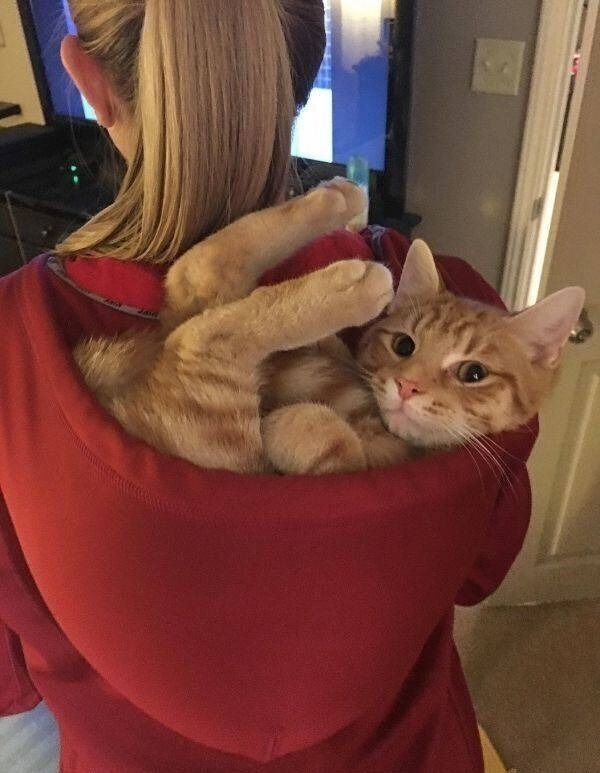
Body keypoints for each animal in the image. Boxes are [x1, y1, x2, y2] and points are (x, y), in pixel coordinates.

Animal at [73, 179, 584, 476]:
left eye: (472, 374)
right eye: (404, 345)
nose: (408, 387)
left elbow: (334, 444)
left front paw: (293, 425)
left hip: (212, 427)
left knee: (200, 326)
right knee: (199, 278)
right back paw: (339, 201)